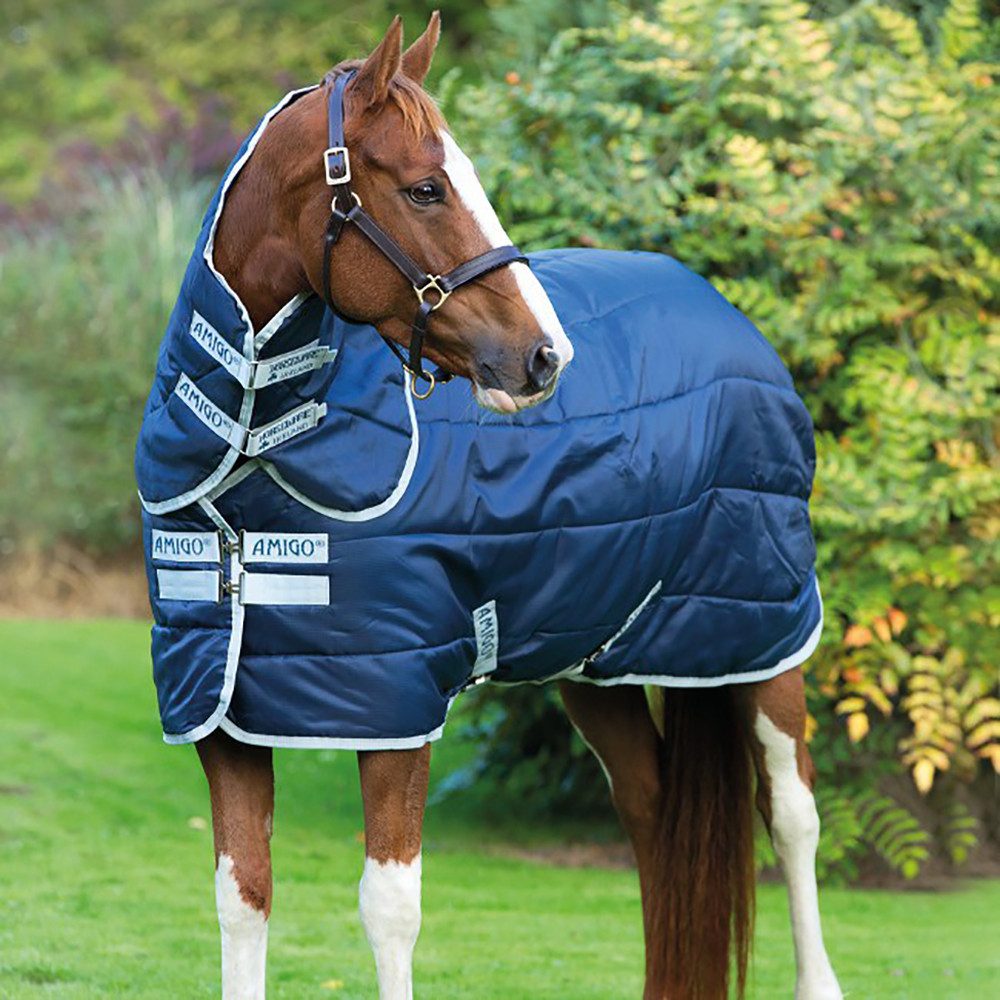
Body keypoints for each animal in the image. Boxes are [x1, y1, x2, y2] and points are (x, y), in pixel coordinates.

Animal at [136, 14, 843, 1000]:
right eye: (426, 188)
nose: (546, 356)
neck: (253, 453)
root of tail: (731, 319)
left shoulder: (397, 704)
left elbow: (388, 910)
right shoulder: (224, 712)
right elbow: (243, 899)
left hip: (760, 637)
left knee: (793, 814)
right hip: (596, 658)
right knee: (652, 811)